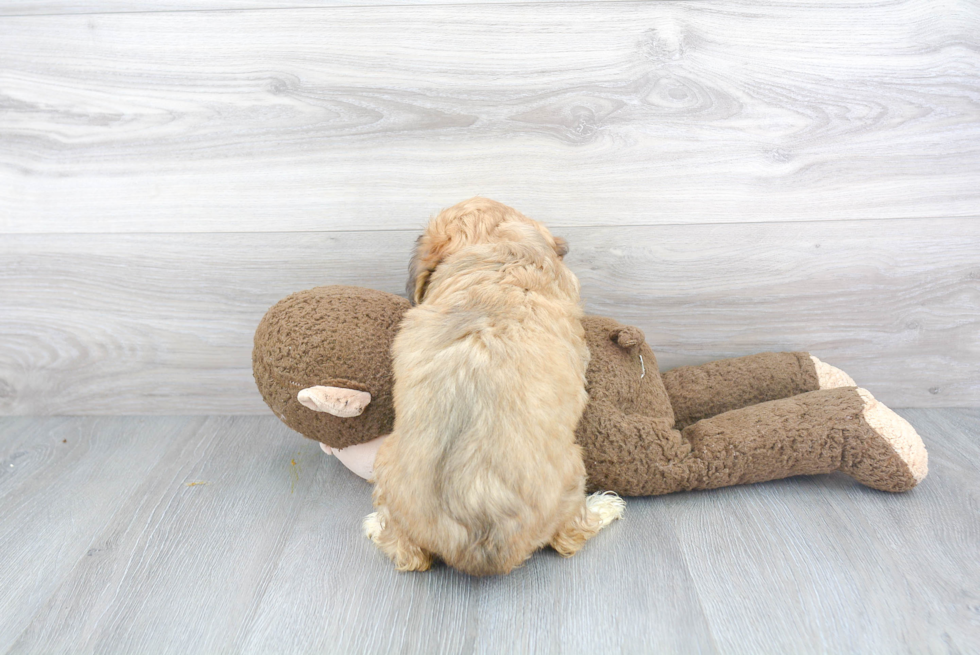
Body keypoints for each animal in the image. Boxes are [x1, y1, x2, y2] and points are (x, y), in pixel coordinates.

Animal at [364, 197, 624, 576]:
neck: (499, 249)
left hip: (386, 457)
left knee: (407, 553)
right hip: (574, 469)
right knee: (569, 538)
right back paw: (605, 508)